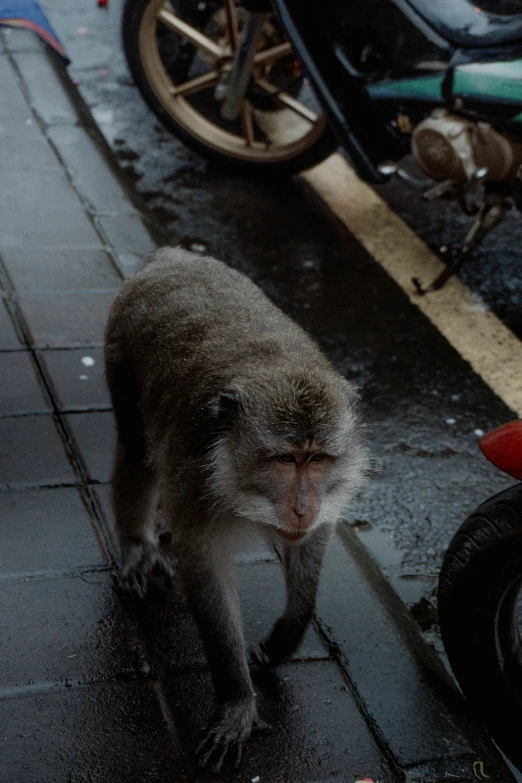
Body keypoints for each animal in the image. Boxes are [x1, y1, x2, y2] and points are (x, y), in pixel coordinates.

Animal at [104, 247, 366, 772]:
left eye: (318, 458)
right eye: (285, 459)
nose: (302, 505)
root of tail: (174, 257)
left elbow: (310, 548)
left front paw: (286, 636)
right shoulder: (195, 482)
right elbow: (207, 576)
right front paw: (237, 701)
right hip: (120, 348)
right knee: (138, 450)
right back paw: (138, 544)